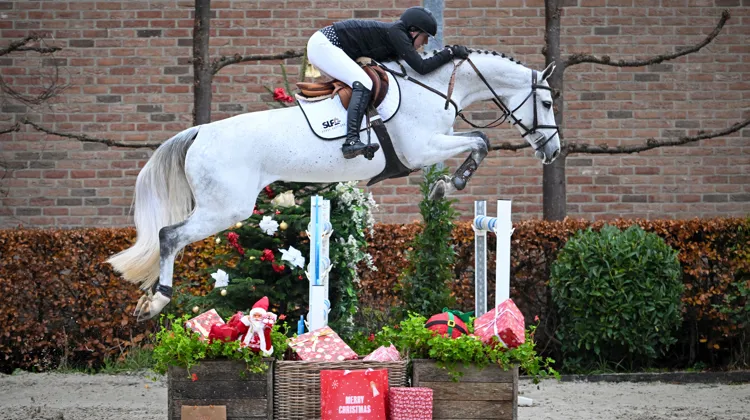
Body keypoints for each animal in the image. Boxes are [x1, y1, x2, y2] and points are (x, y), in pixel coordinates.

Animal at [107, 49, 562, 321]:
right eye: (547, 102)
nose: (553, 151)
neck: (434, 89)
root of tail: (200, 132)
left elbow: (478, 141)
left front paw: (447, 184)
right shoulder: (421, 149)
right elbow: (481, 141)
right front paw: (448, 186)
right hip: (224, 209)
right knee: (169, 236)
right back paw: (156, 301)